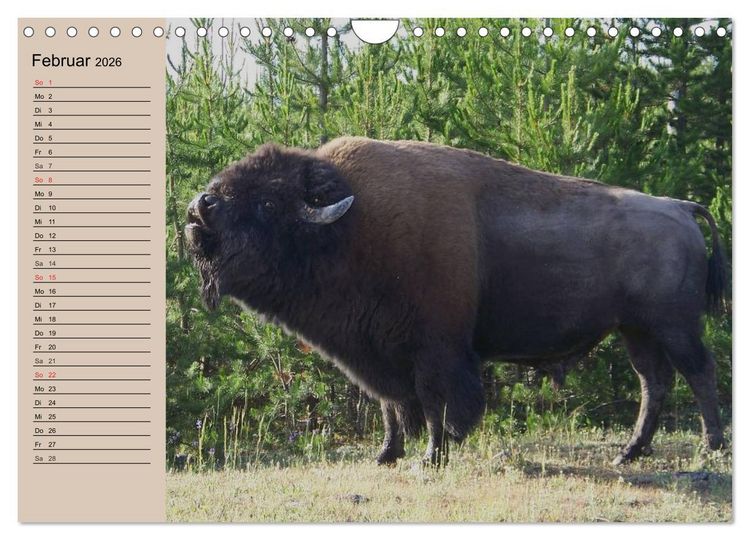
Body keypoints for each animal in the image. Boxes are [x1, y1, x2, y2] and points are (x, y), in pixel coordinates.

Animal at [185, 137, 727, 466]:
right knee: (654, 383)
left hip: (674, 327)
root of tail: (680, 207)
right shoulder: (376, 351)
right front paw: (386, 456)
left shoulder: (435, 349)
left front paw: (433, 455)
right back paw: (628, 453)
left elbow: (434, 402)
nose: (198, 208)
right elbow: (391, 404)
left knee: (699, 375)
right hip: (635, 330)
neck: (351, 225)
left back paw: (710, 449)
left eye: (268, 203)